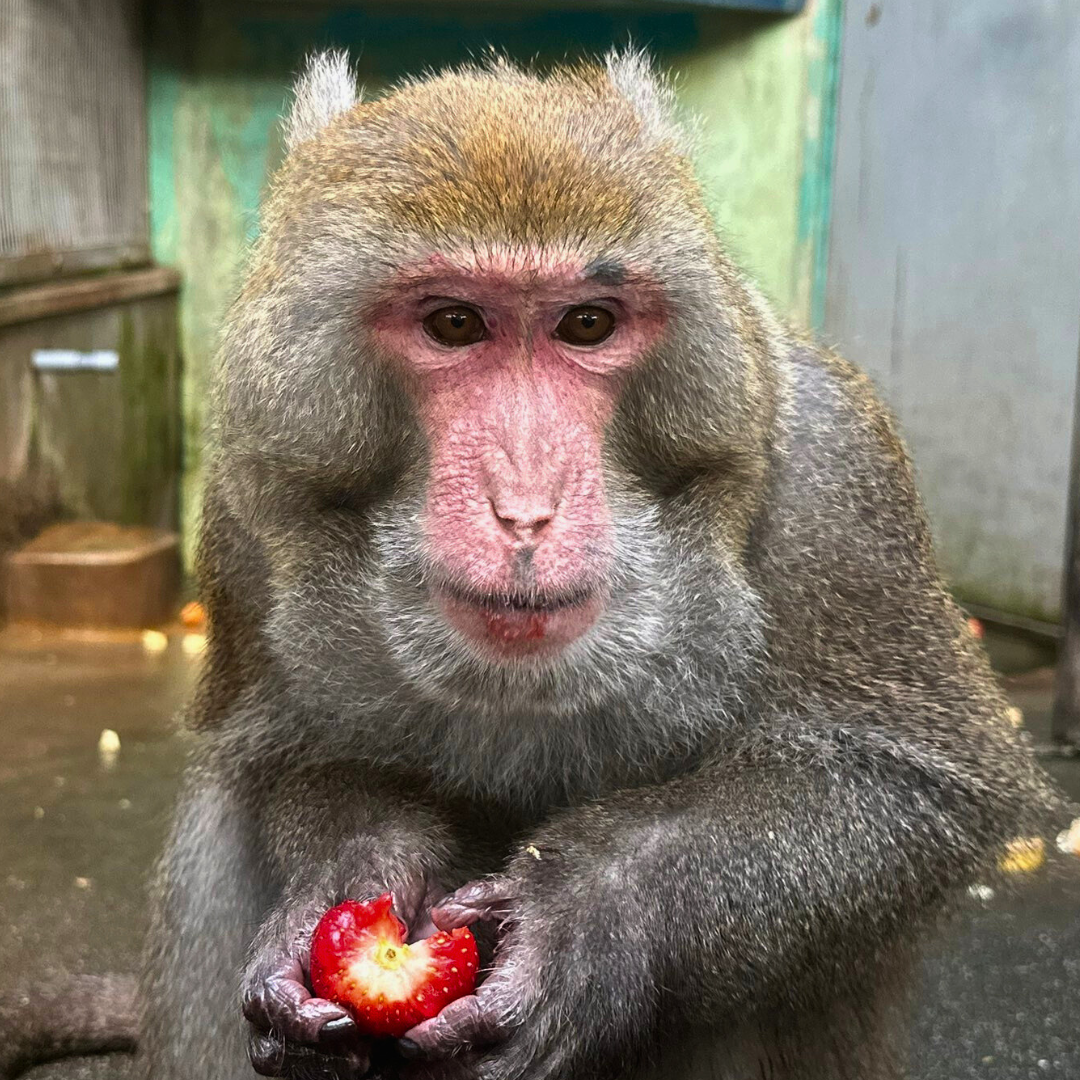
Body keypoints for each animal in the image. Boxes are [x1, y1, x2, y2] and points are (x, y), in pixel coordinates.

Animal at [3, 49, 1055, 1080]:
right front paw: (356, 872)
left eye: (586, 324)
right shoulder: (244, 502)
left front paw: (586, 915)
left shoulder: (839, 476)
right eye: (455, 324)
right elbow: (280, 755)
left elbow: (905, 789)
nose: (525, 508)